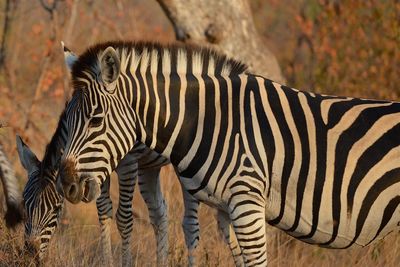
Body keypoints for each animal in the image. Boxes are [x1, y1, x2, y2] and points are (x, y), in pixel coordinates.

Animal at [57, 40, 400, 266]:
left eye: (95, 120)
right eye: (68, 120)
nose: (68, 184)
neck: (210, 120)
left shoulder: (248, 205)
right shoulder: (227, 210)